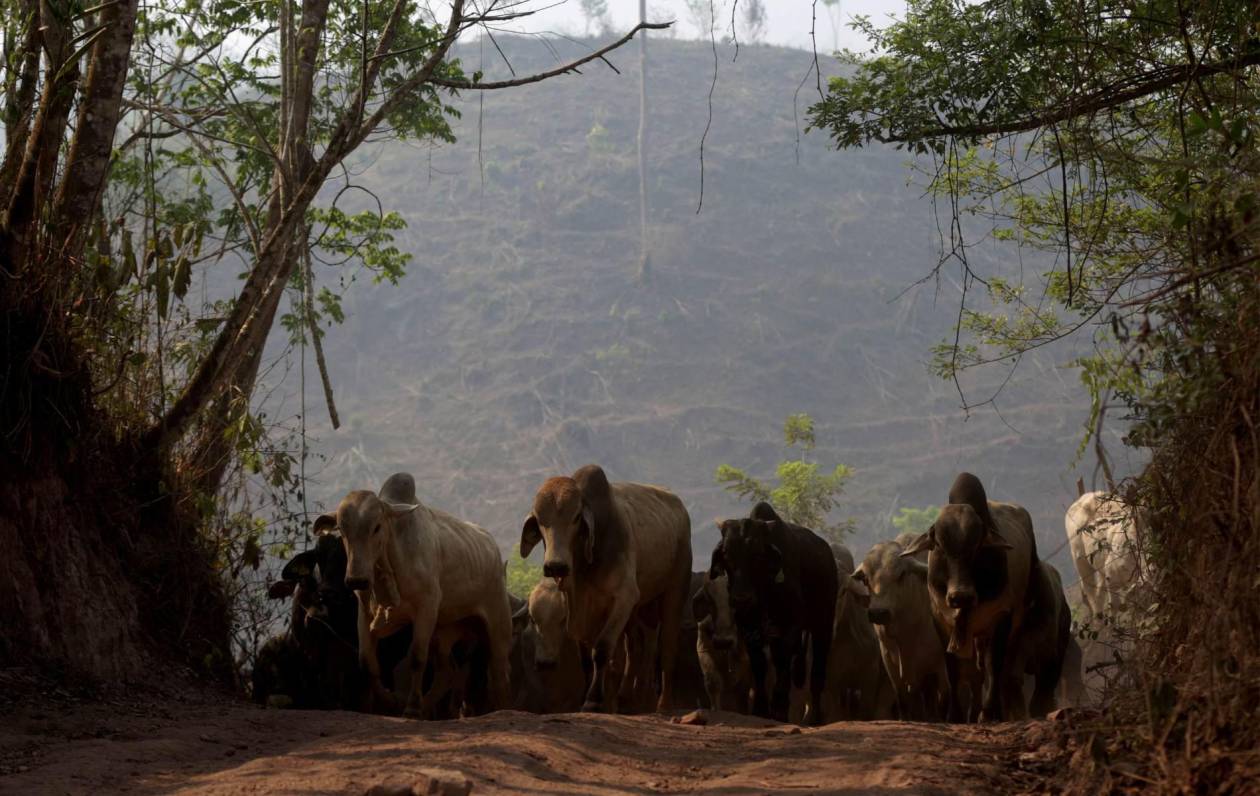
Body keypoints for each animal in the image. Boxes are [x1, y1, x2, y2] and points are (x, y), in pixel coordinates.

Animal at [524, 463, 700, 710]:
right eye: (540, 520)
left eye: (576, 517)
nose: (555, 566)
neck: (585, 568)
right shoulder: (581, 613)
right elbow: (588, 660)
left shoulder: (624, 598)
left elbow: (602, 649)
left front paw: (593, 700)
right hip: (641, 608)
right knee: (636, 647)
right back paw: (628, 697)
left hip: (674, 591)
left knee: (666, 649)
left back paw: (662, 705)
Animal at [710, 506, 836, 725]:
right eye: (726, 553)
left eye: (757, 554)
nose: (741, 598)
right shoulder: (748, 628)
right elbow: (759, 664)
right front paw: (761, 708)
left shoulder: (791, 626)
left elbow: (782, 661)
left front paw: (779, 707)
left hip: (823, 624)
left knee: (817, 673)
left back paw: (814, 717)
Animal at [907, 473, 1033, 720]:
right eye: (939, 545)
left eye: (977, 546)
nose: (960, 596)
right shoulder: (941, 619)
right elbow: (953, 669)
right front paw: (955, 715)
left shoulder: (1002, 617)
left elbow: (994, 665)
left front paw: (991, 713)